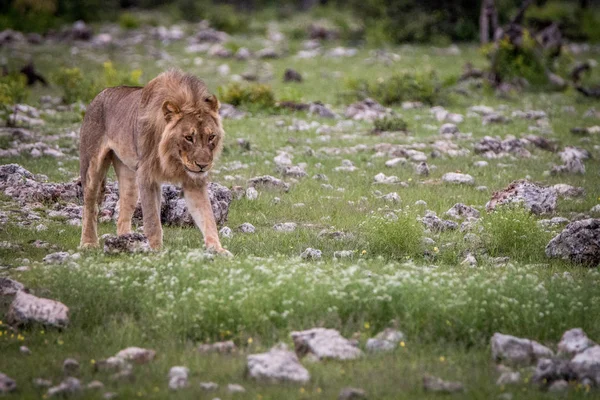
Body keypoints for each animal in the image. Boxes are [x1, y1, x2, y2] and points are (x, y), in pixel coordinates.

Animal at [79, 69, 230, 255]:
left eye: (211, 137)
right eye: (188, 137)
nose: (203, 165)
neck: (173, 157)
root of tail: (99, 95)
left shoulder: (193, 181)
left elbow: (207, 216)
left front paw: (218, 249)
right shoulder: (146, 175)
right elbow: (152, 220)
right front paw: (156, 251)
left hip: (130, 179)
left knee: (123, 213)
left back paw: (124, 242)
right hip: (92, 167)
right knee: (89, 206)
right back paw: (89, 243)